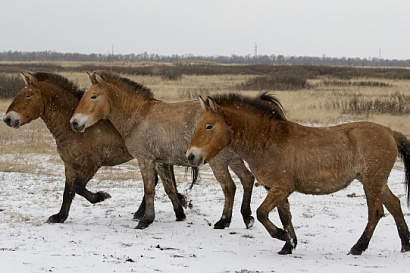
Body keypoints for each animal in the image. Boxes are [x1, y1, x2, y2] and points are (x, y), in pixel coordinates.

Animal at [3, 73, 190, 223]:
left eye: (28, 95)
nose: (7, 119)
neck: (73, 129)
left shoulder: (91, 164)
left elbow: (78, 187)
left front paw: (100, 197)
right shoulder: (69, 165)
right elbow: (68, 192)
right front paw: (60, 217)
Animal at [70, 70, 256, 230]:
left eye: (93, 96)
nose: (74, 123)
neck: (138, 116)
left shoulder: (145, 160)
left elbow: (149, 189)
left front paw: (146, 220)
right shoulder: (161, 162)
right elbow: (169, 188)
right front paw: (180, 215)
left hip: (219, 162)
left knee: (229, 187)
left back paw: (224, 221)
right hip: (233, 159)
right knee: (247, 179)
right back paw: (247, 217)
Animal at [187, 93, 410, 255]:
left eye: (209, 126)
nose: (191, 156)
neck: (267, 141)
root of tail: (390, 132)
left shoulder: (282, 187)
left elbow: (261, 213)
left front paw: (281, 235)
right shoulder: (276, 189)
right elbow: (285, 215)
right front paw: (289, 244)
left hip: (372, 181)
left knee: (376, 212)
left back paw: (359, 247)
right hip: (375, 181)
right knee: (395, 205)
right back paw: (405, 245)